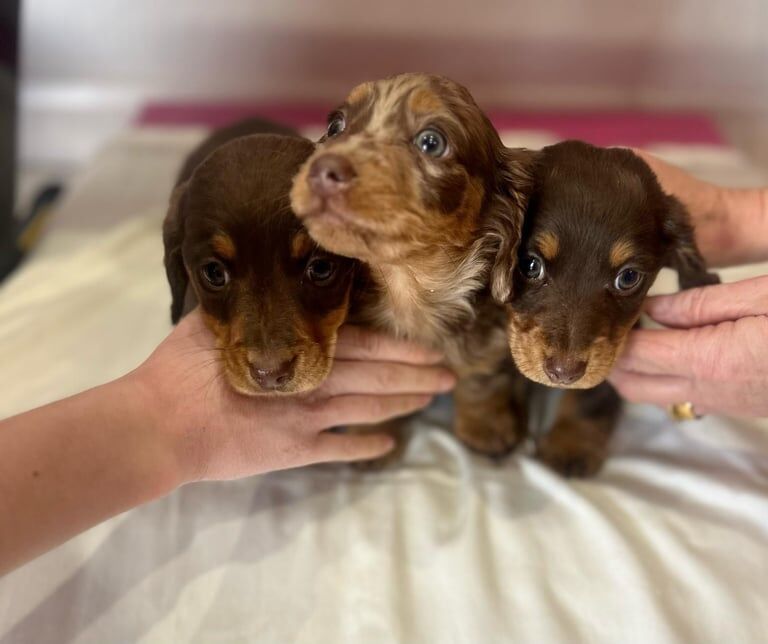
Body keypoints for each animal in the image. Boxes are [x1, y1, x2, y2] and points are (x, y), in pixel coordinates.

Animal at [290, 73, 536, 456]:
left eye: (431, 142)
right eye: (335, 126)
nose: (321, 170)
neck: (410, 288)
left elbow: (482, 379)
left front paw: (485, 430)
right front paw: (371, 436)